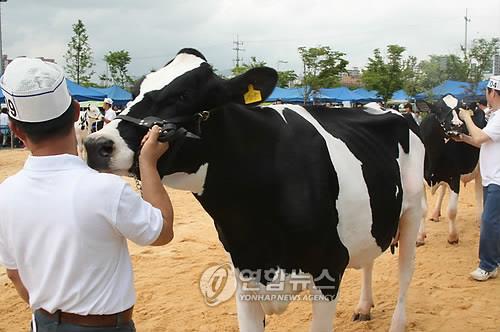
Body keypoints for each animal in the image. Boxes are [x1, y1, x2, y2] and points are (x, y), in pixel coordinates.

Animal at [84, 49, 424, 332]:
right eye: (135, 90)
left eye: (182, 95)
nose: (96, 144)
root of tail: (386, 109)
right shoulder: (243, 270)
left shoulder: (329, 266)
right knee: (370, 256)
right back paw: (364, 307)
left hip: (412, 211)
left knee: (406, 272)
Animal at [416, 96, 486, 244]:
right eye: (439, 109)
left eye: (460, 110)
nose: (457, 125)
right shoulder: (419, 179)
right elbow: (423, 210)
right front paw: (420, 237)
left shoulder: (454, 176)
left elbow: (452, 210)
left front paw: (453, 237)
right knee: (443, 190)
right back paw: (435, 214)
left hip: (480, 169)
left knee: (479, 193)